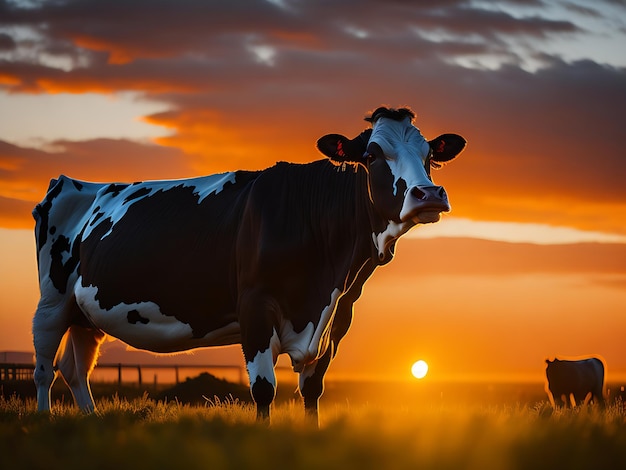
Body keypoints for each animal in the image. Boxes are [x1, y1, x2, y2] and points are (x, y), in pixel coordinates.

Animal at [33, 106, 464, 422]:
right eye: (372, 155)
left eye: (431, 157)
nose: (429, 194)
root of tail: (71, 182)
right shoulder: (255, 306)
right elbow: (263, 389)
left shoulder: (341, 314)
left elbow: (313, 389)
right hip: (52, 302)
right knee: (45, 368)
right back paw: (44, 419)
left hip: (85, 313)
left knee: (76, 369)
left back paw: (90, 419)